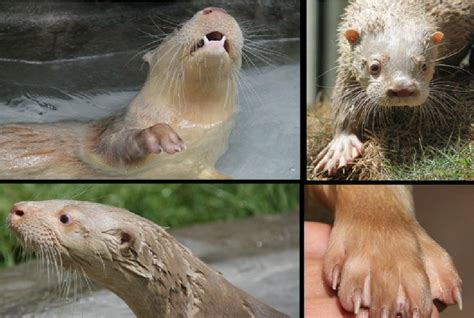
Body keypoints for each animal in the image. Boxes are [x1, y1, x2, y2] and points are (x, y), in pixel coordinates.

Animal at [0, 6, 243, 179]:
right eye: (178, 27)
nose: (217, 8)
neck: (192, 125)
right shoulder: (115, 130)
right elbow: (112, 148)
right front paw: (158, 134)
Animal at [312, 0, 472, 176]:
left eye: (424, 66)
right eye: (374, 67)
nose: (402, 89)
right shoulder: (347, 63)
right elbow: (345, 100)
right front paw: (342, 146)